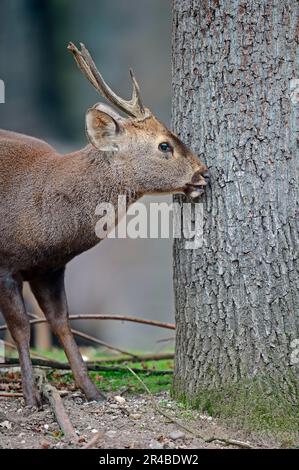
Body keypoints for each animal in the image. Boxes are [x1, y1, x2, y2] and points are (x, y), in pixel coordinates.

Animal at [0, 42, 209, 406]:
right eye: (164, 145)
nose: (203, 173)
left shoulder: (49, 268)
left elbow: (62, 324)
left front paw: (93, 392)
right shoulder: (5, 264)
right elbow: (22, 329)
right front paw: (31, 397)